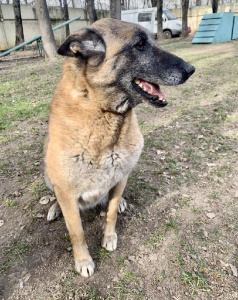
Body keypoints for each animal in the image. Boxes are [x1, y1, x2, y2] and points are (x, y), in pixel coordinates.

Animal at [43, 18, 195, 276]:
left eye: (153, 40)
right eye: (140, 44)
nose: (191, 69)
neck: (104, 113)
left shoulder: (121, 175)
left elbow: (111, 212)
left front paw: (110, 236)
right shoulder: (66, 190)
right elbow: (77, 231)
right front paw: (83, 260)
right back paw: (54, 207)